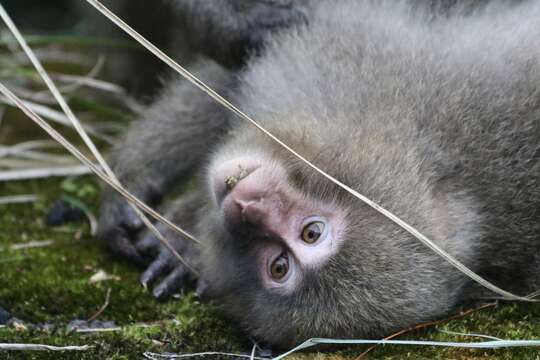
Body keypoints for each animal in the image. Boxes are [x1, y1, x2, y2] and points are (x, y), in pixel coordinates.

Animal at [98, 0, 540, 348]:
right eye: (314, 232)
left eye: (280, 265)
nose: (247, 207)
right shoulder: (366, 63)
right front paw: (133, 178)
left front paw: (186, 238)